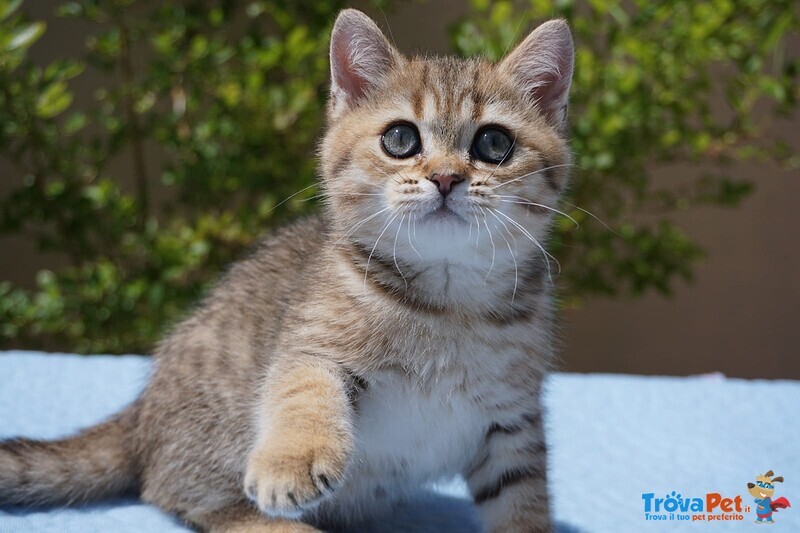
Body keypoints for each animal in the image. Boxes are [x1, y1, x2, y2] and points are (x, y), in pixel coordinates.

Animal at [0, 9, 576, 532]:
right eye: (400, 139)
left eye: (494, 144)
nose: (446, 177)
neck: (448, 302)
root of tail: (140, 416)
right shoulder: (311, 342)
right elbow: (303, 391)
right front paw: (291, 461)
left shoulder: (513, 421)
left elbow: (523, 502)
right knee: (180, 494)